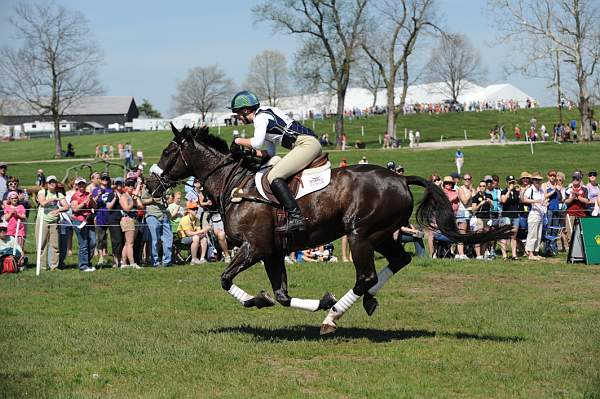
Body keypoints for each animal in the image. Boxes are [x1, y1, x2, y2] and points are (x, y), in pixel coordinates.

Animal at [145, 126, 510, 336]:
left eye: (168, 151)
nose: (148, 183)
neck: (235, 184)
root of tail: (401, 178)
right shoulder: (273, 252)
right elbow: (282, 295)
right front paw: (313, 300)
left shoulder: (256, 248)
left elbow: (225, 279)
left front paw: (258, 300)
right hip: (381, 234)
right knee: (397, 261)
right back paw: (364, 301)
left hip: (361, 234)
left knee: (366, 276)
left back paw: (333, 318)